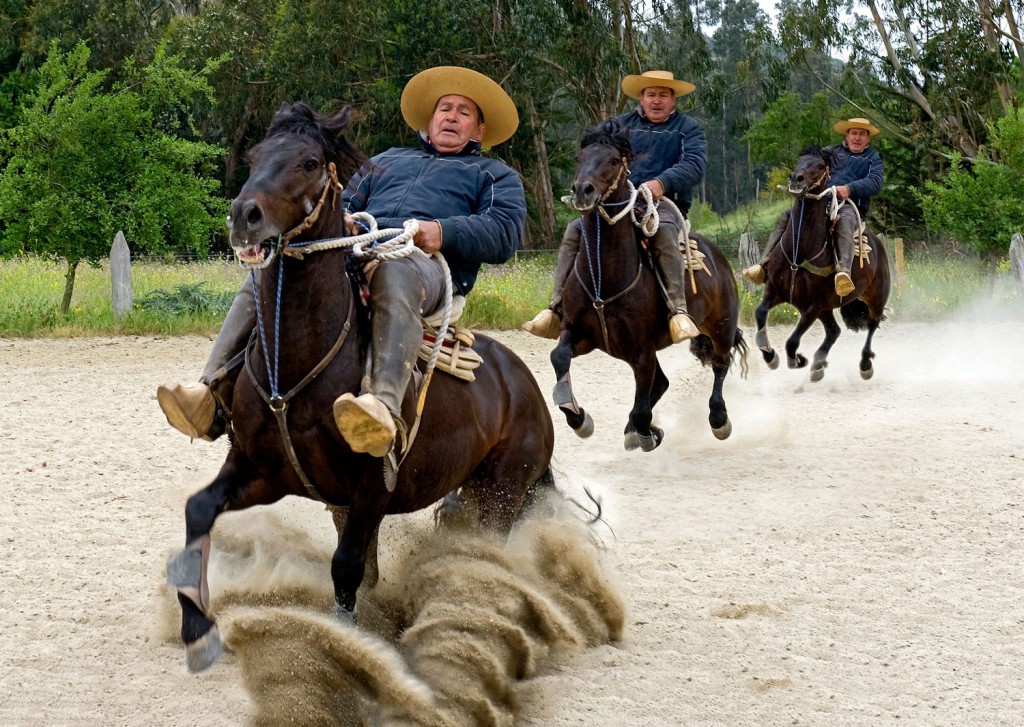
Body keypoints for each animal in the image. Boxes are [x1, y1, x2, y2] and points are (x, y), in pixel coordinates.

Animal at [168, 102, 557, 671]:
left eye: (309, 161)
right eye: (256, 156)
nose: (243, 216)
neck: (298, 369)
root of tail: (525, 385)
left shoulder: (373, 485)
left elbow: (347, 567)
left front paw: (345, 646)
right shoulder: (261, 470)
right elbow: (199, 509)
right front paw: (197, 627)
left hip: (502, 495)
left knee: (482, 558)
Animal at [552, 118, 745, 450]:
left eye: (613, 160)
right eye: (579, 157)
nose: (582, 191)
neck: (605, 281)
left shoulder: (642, 350)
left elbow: (643, 408)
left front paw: (646, 432)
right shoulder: (580, 333)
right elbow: (559, 356)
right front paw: (577, 415)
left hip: (721, 324)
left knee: (720, 363)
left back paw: (719, 419)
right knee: (663, 383)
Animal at [757, 143, 892, 380]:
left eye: (820, 165)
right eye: (799, 160)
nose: (796, 179)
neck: (799, 253)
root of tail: (878, 245)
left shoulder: (812, 306)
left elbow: (792, 341)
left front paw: (798, 360)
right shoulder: (774, 290)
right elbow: (761, 313)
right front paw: (770, 355)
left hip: (876, 297)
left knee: (872, 324)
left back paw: (864, 364)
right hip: (827, 309)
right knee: (834, 331)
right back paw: (818, 364)